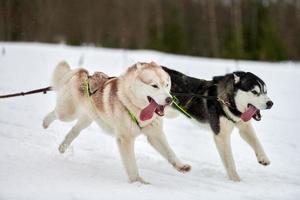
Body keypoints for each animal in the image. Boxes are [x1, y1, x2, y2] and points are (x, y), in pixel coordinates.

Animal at [42, 61, 190, 184]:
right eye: (154, 86)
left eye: (166, 84)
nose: (170, 99)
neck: (137, 109)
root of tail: (85, 75)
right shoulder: (125, 139)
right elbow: (131, 164)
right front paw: (137, 181)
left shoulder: (155, 135)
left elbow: (170, 152)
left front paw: (181, 166)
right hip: (68, 113)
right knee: (55, 113)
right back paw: (45, 122)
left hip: (87, 120)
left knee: (74, 131)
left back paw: (63, 147)